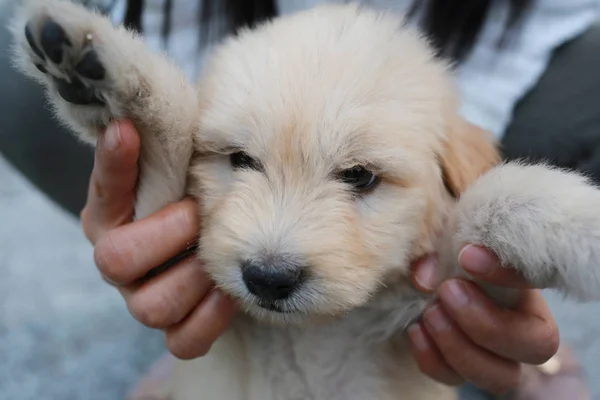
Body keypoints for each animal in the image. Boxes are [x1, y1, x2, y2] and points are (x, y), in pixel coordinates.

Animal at [10, 1, 600, 398]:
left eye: (360, 176)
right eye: (240, 159)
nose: (268, 279)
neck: (312, 331)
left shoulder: (443, 297)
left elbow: (495, 202)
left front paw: (581, 227)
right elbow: (165, 132)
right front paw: (96, 62)